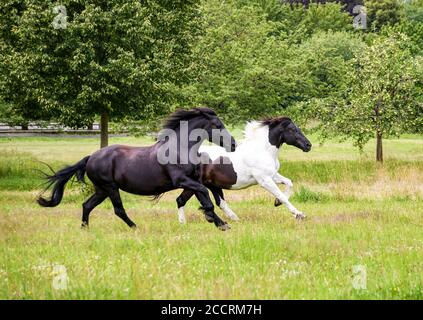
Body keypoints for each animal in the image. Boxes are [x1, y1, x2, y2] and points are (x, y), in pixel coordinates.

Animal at [37, 107, 237, 230]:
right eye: (218, 125)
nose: (234, 144)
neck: (179, 148)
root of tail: (90, 158)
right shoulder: (182, 180)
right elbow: (206, 196)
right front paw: (216, 220)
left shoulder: (192, 181)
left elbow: (203, 197)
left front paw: (221, 223)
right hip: (110, 187)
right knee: (118, 209)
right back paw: (135, 227)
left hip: (101, 190)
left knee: (87, 205)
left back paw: (85, 229)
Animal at [176, 116, 312, 224]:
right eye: (292, 129)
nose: (308, 145)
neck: (263, 150)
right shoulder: (264, 180)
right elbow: (281, 195)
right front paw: (299, 214)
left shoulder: (272, 175)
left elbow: (289, 183)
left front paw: (277, 202)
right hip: (194, 185)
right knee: (180, 200)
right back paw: (184, 224)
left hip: (212, 185)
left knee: (220, 203)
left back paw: (235, 219)